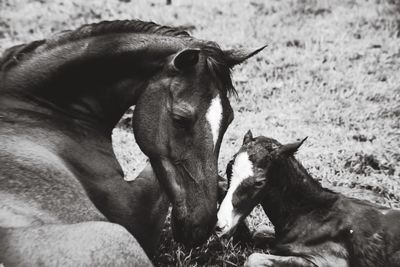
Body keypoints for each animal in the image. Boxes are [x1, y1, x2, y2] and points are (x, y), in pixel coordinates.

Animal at [217, 132, 400, 267]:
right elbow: (260, 232)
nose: (219, 224)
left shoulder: (328, 261)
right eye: (228, 167)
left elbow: (253, 258)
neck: (309, 212)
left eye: (259, 182)